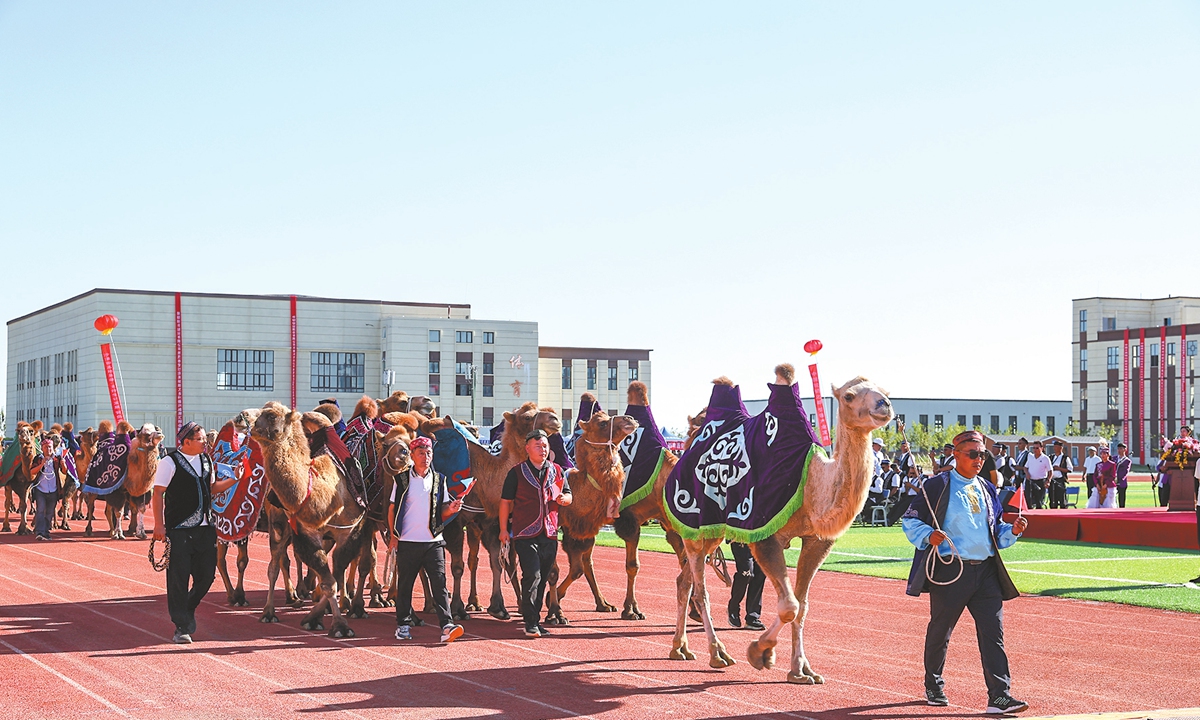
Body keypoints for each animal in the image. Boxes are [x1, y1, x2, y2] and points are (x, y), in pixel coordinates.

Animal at [250, 403, 420, 638]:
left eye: (410, 444)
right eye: (384, 444)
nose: (248, 423)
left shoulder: (351, 530)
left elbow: (339, 572)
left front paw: (330, 615)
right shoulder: (310, 532)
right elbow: (333, 576)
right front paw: (339, 619)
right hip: (278, 523)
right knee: (275, 564)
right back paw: (271, 610)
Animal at [542, 410, 638, 624]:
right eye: (602, 423)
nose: (630, 419)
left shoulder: (598, 522)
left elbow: (631, 565)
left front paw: (631, 610)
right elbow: (555, 569)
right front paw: (554, 611)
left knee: (586, 564)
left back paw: (604, 604)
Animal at [667, 364, 892, 681]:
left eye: (885, 390)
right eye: (848, 396)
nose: (884, 405)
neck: (811, 485)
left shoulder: (816, 541)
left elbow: (802, 605)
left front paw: (801, 670)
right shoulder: (763, 535)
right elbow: (789, 605)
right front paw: (759, 653)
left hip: (707, 534)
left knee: (684, 582)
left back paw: (680, 648)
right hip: (696, 526)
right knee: (700, 590)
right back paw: (718, 653)